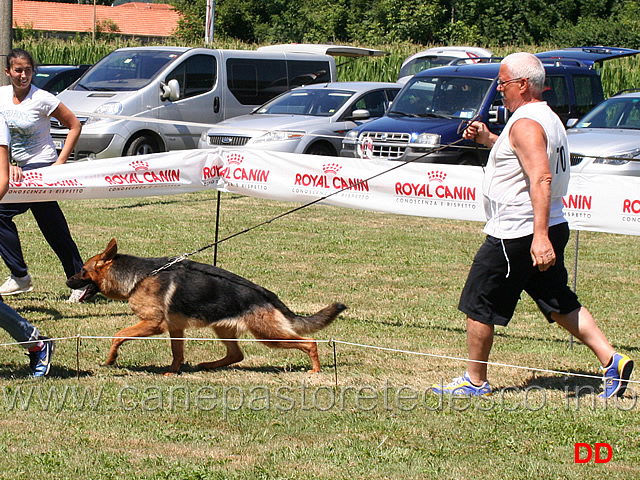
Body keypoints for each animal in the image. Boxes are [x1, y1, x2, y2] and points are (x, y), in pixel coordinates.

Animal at [66, 239, 344, 376]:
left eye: (83, 270)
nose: (67, 281)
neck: (140, 277)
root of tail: (267, 294)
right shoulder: (175, 329)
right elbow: (177, 354)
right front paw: (172, 373)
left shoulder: (154, 324)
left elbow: (118, 335)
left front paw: (111, 359)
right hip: (225, 330)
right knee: (236, 355)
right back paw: (208, 365)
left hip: (268, 335)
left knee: (310, 342)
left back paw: (316, 370)